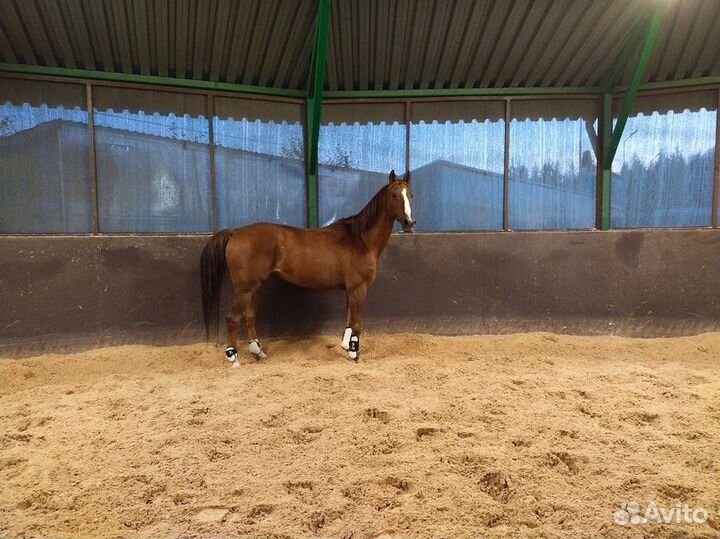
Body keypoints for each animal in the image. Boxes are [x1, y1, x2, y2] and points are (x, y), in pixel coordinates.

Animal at [202, 171, 416, 364]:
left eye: (411, 195)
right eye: (394, 195)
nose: (409, 222)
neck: (359, 240)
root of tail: (236, 232)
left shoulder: (350, 290)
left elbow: (348, 321)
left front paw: (347, 347)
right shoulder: (358, 289)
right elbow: (357, 323)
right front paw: (354, 354)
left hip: (255, 287)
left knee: (249, 316)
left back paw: (258, 352)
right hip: (244, 289)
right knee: (233, 318)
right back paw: (233, 358)